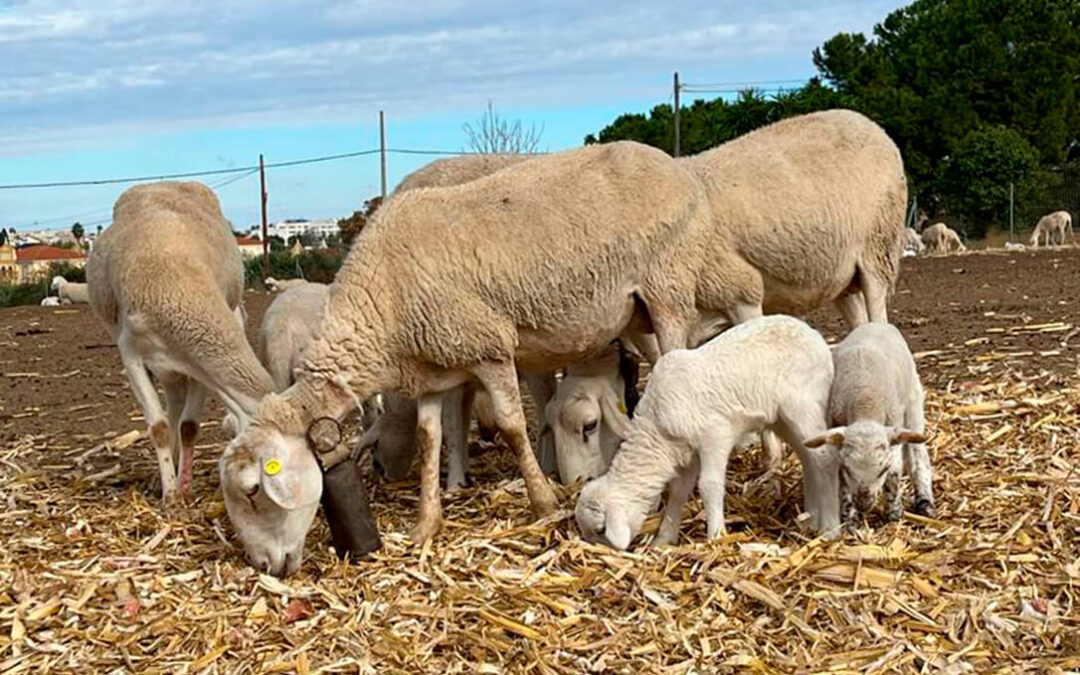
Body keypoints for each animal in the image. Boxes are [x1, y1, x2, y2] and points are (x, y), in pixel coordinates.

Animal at [89, 181, 276, 503]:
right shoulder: (131, 355)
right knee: (170, 412)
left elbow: (188, 426)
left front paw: (184, 485)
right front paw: (171, 495)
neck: (175, 285)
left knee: (176, 408)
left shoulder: (196, 361)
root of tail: (162, 183)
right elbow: (160, 427)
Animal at [218, 139, 721, 570]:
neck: (384, 303)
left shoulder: (489, 347)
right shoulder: (430, 371)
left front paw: (542, 501)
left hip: (668, 288)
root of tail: (670, 166)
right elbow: (430, 439)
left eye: (252, 491)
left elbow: (513, 426)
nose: (265, 566)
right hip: (636, 314)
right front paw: (425, 525)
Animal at [574, 315, 833, 548]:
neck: (656, 428)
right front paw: (663, 539)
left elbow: (709, 485)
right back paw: (811, 516)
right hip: (782, 420)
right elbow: (678, 491)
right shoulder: (687, 453)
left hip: (803, 406)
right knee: (809, 460)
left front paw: (716, 536)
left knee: (824, 457)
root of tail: (815, 336)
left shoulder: (715, 435)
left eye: (600, 529)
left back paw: (829, 527)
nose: (602, 550)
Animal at [803, 321, 937, 520]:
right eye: (847, 468)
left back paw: (925, 503)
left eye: (883, 469)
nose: (864, 505)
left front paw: (894, 512)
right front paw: (849, 518)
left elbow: (894, 473)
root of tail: (877, 323)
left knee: (918, 453)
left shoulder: (893, 427)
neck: (865, 400)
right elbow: (842, 484)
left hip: (913, 399)